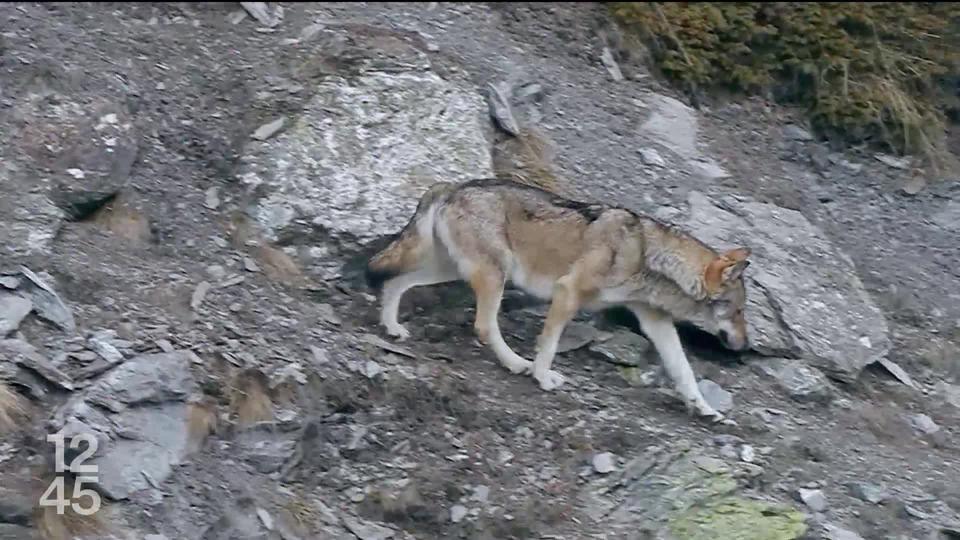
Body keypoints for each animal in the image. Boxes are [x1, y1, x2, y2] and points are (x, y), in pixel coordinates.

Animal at [364, 178, 752, 422]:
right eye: (737, 311)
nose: (745, 347)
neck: (649, 256)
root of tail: (452, 187)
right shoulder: (568, 292)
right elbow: (548, 345)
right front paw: (542, 377)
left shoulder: (655, 321)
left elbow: (684, 371)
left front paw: (706, 410)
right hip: (493, 276)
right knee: (484, 326)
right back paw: (516, 364)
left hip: (451, 269)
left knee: (396, 283)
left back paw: (392, 327)